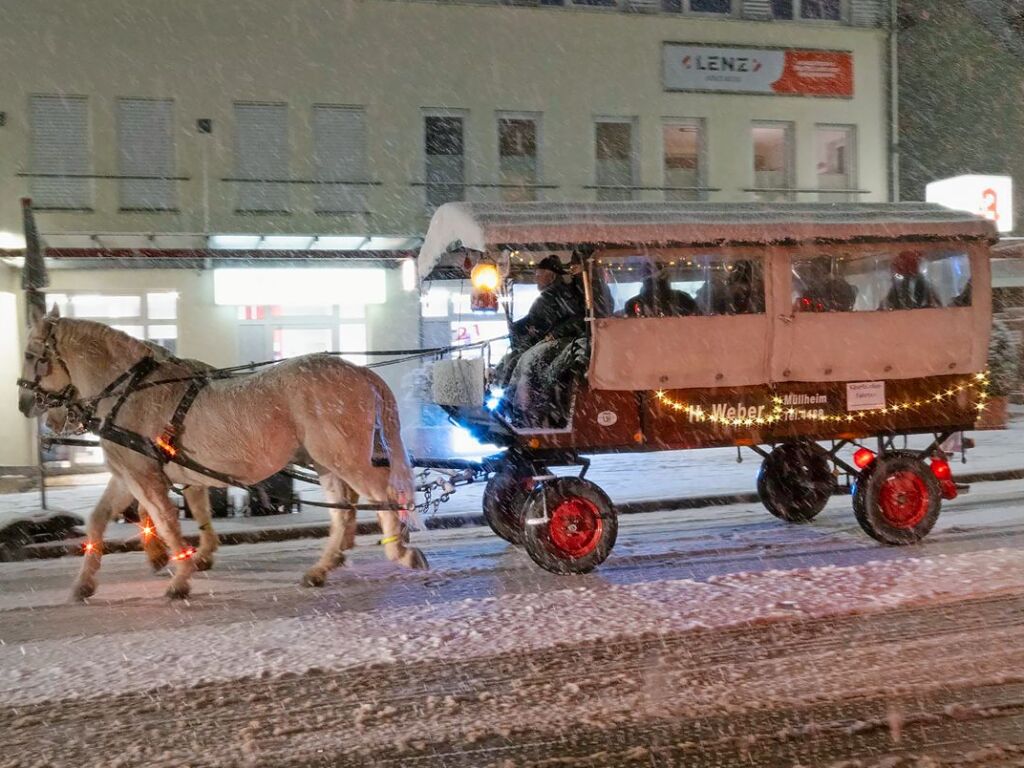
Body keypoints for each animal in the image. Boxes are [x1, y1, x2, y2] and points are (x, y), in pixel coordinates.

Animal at [19, 307, 428, 602]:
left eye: (30, 354)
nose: (26, 405)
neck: (133, 391)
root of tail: (360, 371)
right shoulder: (129, 473)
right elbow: (100, 520)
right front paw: (84, 583)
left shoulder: (143, 476)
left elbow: (164, 521)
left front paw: (180, 577)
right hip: (326, 463)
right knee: (343, 515)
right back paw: (322, 569)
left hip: (346, 458)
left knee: (384, 498)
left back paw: (399, 551)